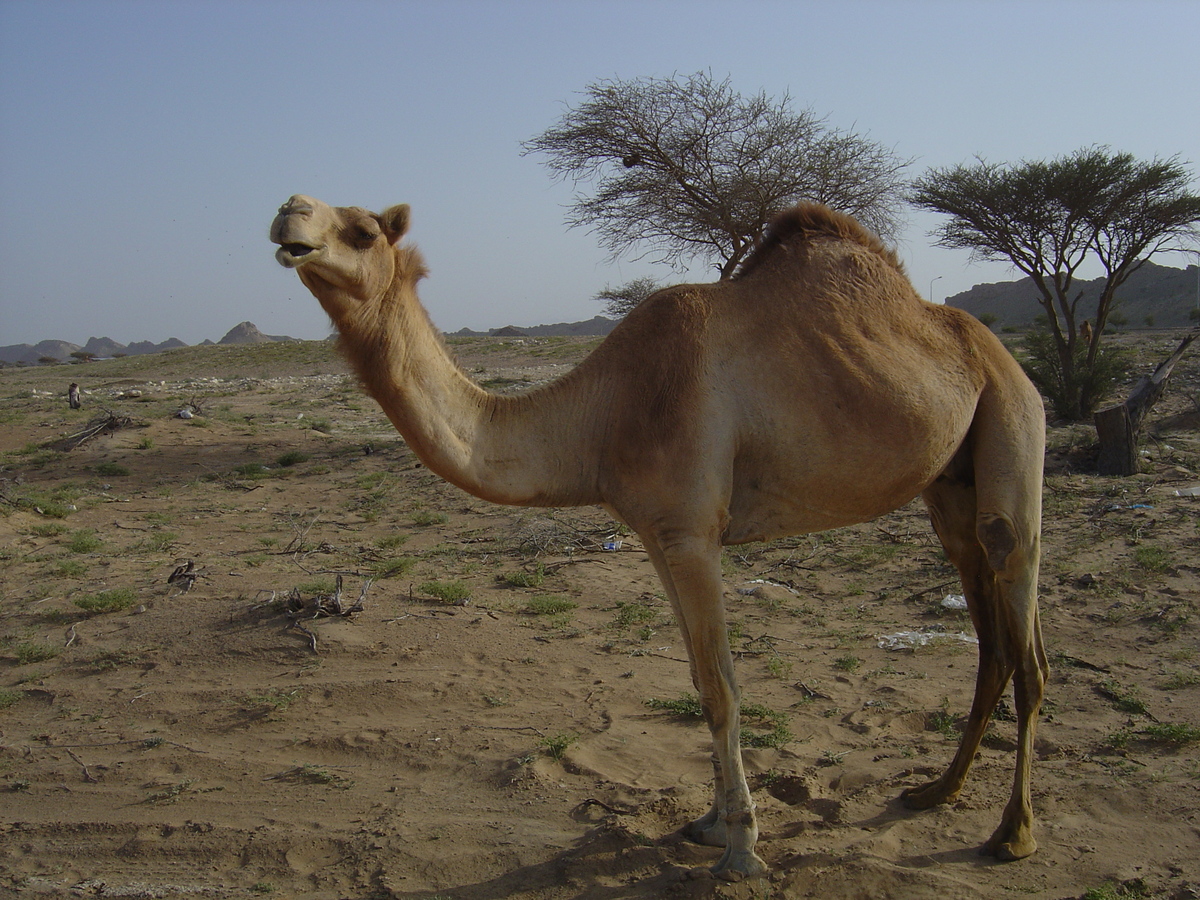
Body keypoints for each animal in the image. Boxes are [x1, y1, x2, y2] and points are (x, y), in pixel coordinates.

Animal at [267, 195, 1046, 883]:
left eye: (363, 230)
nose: (288, 212)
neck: (604, 412)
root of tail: (997, 351)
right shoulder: (654, 535)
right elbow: (699, 681)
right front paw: (709, 823)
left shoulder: (693, 531)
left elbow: (723, 686)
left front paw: (742, 852)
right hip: (949, 482)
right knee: (992, 637)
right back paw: (937, 790)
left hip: (1012, 423)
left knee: (1023, 622)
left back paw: (1012, 834)